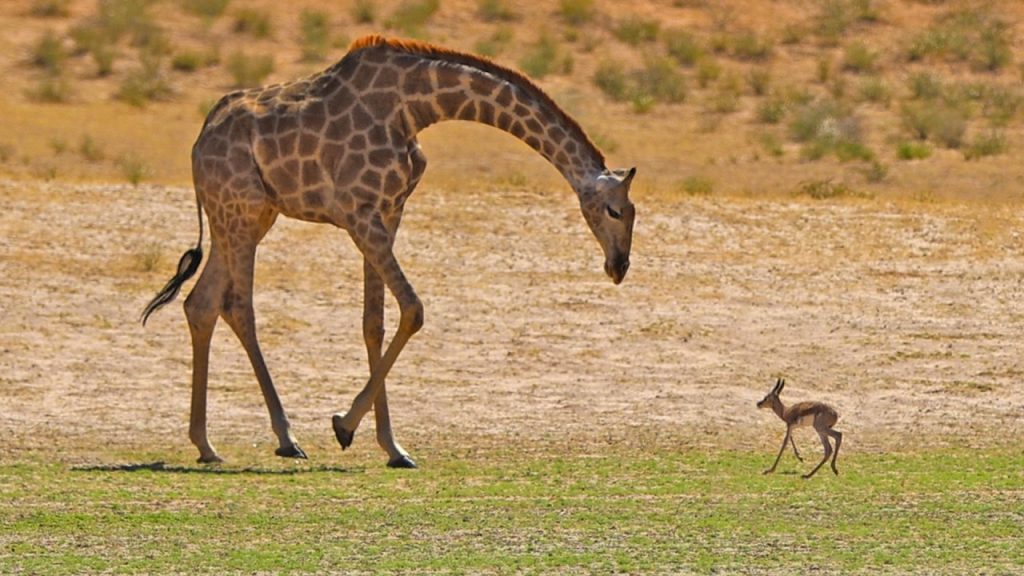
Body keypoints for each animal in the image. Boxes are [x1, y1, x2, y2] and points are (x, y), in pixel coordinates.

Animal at [142, 35, 637, 468]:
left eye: (634, 211)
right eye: (614, 210)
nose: (619, 266)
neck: (414, 108)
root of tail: (200, 140)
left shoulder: (389, 212)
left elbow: (374, 322)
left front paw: (392, 447)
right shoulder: (358, 214)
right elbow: (413, 309)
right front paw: (344, 426)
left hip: (248, 216)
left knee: (200, 304)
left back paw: (206, 444)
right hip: (239, 212)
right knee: (239, 306)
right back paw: (286, 438)